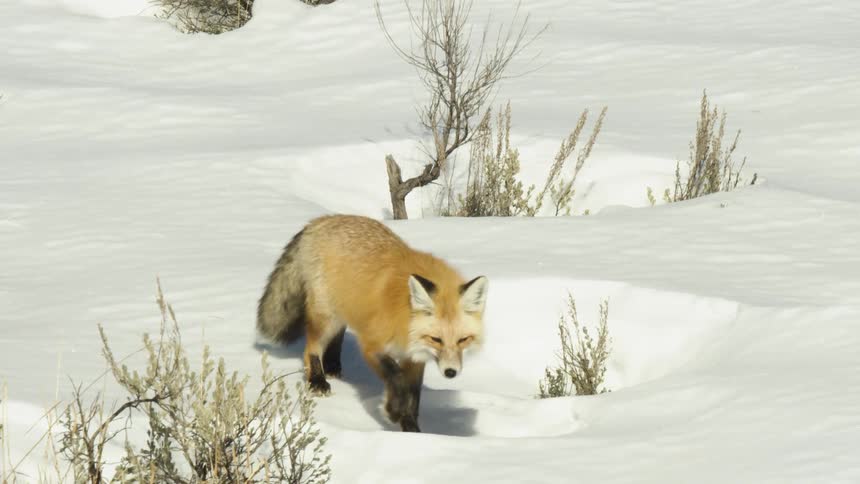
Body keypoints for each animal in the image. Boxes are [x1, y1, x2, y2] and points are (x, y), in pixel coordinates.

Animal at [256, 214, 488, 432]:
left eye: (463, 340)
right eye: (436, 339)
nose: (451, 372)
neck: (405, 318)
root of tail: (321, 220)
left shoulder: (415, 357)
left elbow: (413, 395)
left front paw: (411, 428)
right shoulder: (371, 345)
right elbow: (397, 379)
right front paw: (394, 410)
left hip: (341, 310)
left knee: (337, 337)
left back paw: (332, 365)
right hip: (326, 317)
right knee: (311, 348)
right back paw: (317, 379)